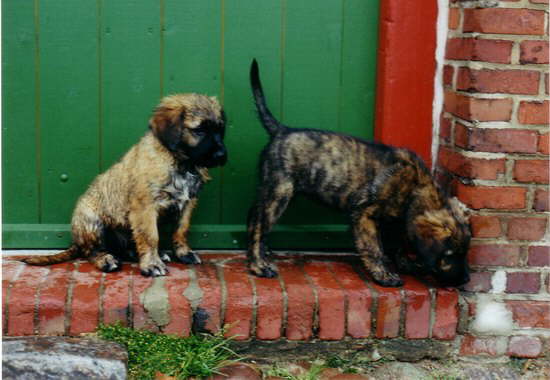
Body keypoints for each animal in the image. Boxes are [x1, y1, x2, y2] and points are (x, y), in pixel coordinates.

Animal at [19, 92, 226, 276]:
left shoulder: (188, 203)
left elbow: (181, 230)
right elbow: (151, 236)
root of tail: (76, 242)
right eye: (199, 130)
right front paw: (151, 265)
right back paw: (106, 260)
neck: (181, 162)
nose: (221, 156)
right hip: (91, 221)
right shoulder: (145, 207)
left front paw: (183, 254)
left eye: (220, 130)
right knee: (91, 251)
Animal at [248, 59, 472, 286]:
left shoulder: (398, 221)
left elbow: (399, 245)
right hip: (279, 192)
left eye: (465, 253)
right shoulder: (365, 213)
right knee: (257, 225)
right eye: (450, 254)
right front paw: (383, 274)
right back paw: (258, 265)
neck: (416, 187)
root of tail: (282, 130)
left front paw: (405, 264)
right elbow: (374, 248)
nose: (466, 280)